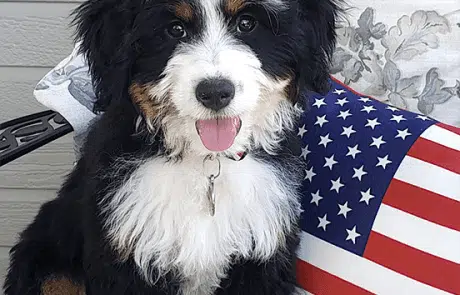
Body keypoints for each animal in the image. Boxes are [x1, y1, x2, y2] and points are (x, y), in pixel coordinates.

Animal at [3, 0, 340, 294]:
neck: (206, 161)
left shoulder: (262, 256)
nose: (214, 92)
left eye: (247, 23)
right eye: (175, 29)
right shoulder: (124, 255)